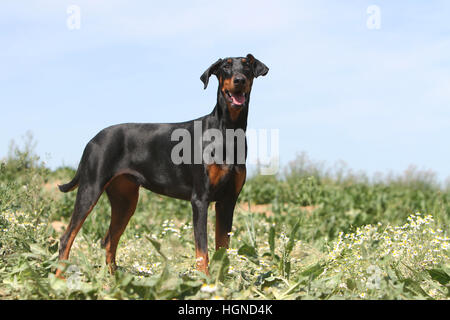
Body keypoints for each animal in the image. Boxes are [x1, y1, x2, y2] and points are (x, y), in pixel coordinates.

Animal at [55, 53, 268, 278]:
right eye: (226, 67)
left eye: (246, 66)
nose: (239, 80)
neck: (228, 130)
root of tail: (93, 140)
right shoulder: (200, 200)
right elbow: (202, 251)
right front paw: (205, 280)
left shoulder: (228, 201)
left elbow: (222, 248)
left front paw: (221, 281)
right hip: (90, 189)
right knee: (67, 238)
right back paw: (60, 278)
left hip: (125, 200)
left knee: (109, 240)